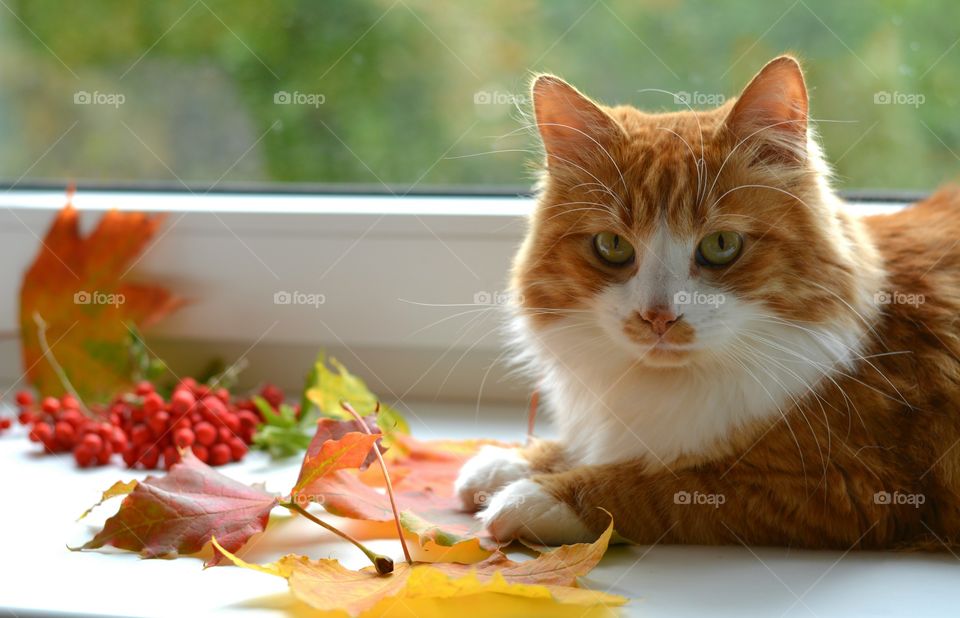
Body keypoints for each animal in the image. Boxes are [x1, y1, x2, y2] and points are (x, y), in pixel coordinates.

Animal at [454, 55, 960, 548]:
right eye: (612, 246)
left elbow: (647, 483)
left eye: (721, 245)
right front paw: (510, 462)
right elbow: (590, 448)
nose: (658, 317)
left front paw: (532, 495)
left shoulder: (841, 485)